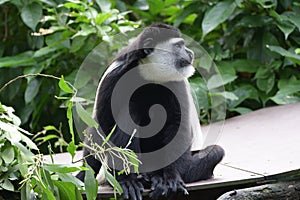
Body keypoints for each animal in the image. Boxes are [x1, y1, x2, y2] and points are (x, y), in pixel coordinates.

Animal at [76, 23, 224, 200]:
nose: (190, 52)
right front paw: (84, 175)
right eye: (178, 46)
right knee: (131, 109)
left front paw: (172, 179)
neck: (149, 72)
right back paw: (133, 179)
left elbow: (178, 125)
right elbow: (101, 125)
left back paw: (156, 178)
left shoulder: (177, 81)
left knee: (215, 152)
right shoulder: (114, 76)